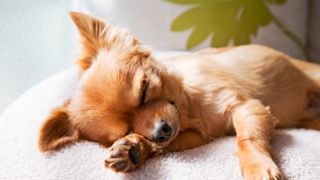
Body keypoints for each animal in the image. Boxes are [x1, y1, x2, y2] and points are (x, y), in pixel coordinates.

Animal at [38, 11, 320, 179]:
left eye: (144, 90)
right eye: (125, 129)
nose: (160, 131)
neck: (189, 110)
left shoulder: (245, 107)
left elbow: (247, 139)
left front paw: (257, 166)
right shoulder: (194, 136)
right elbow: (165, 147)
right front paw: (133, 149)